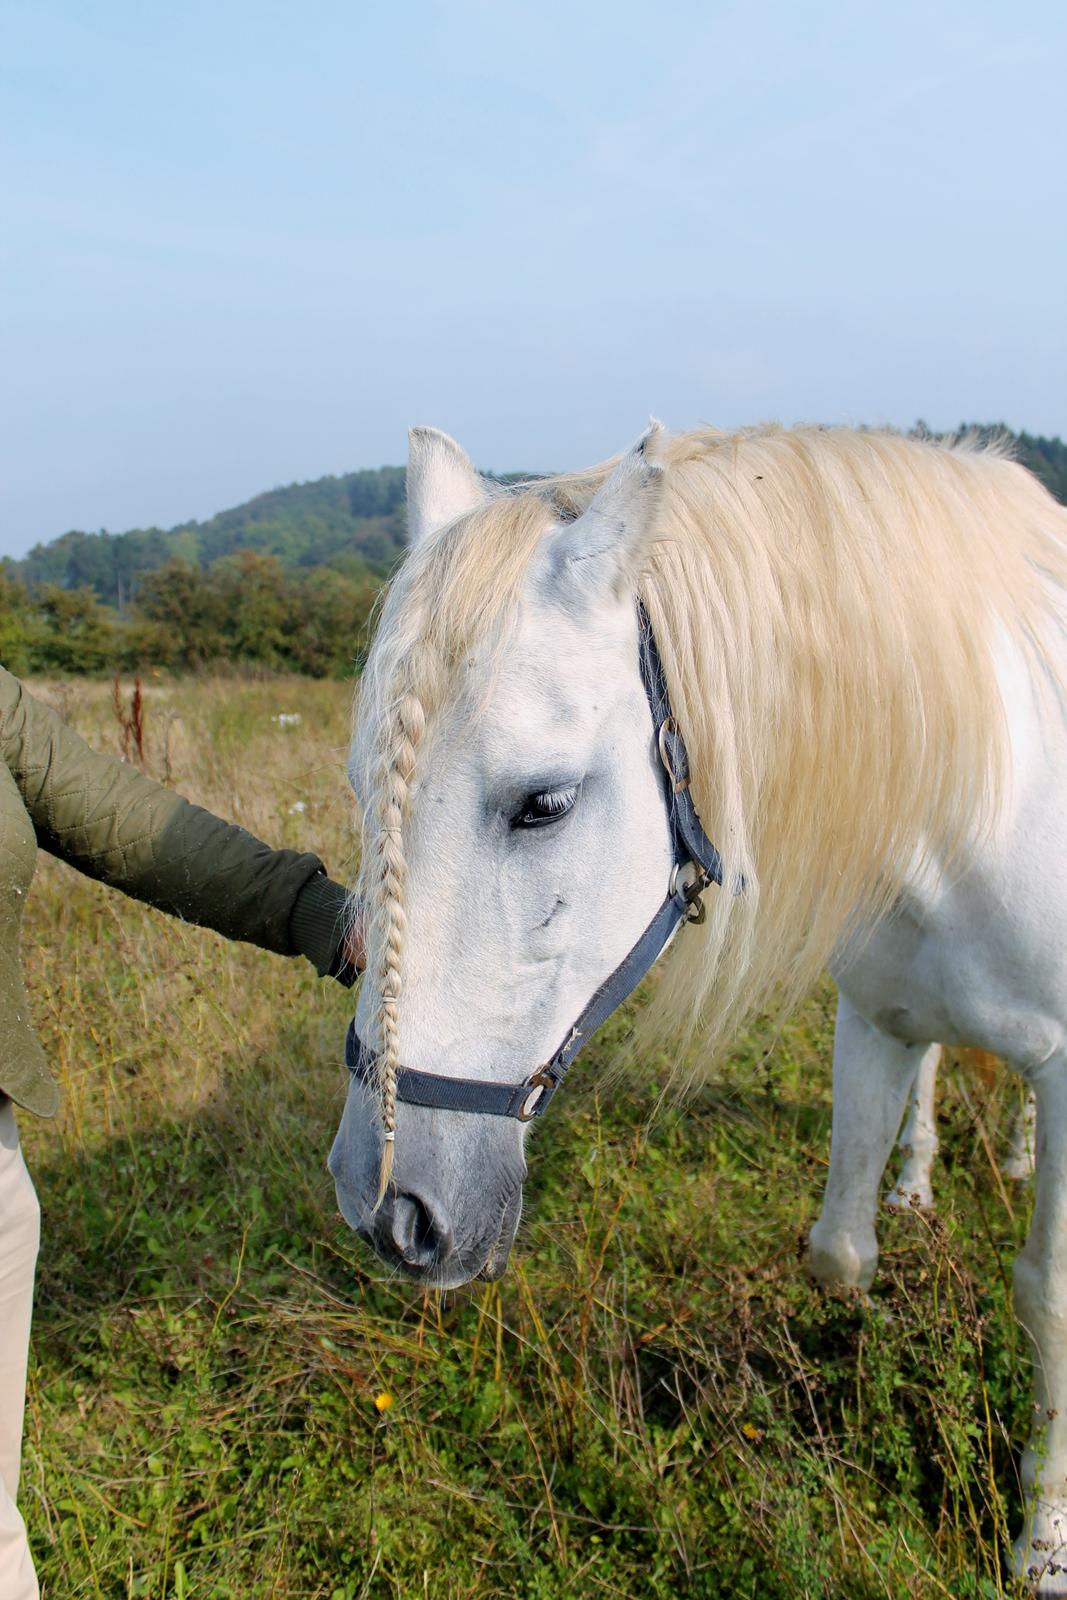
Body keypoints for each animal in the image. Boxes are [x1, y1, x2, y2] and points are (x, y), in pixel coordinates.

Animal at [329, 419, 1067, 1593]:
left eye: (544, 803)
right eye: (364, 791)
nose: (383, 1205)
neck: (975, 784)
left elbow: (1045, 1294)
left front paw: (1037, 1543)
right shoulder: (875, 1021)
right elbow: (839, 1254)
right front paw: (861, 1382)